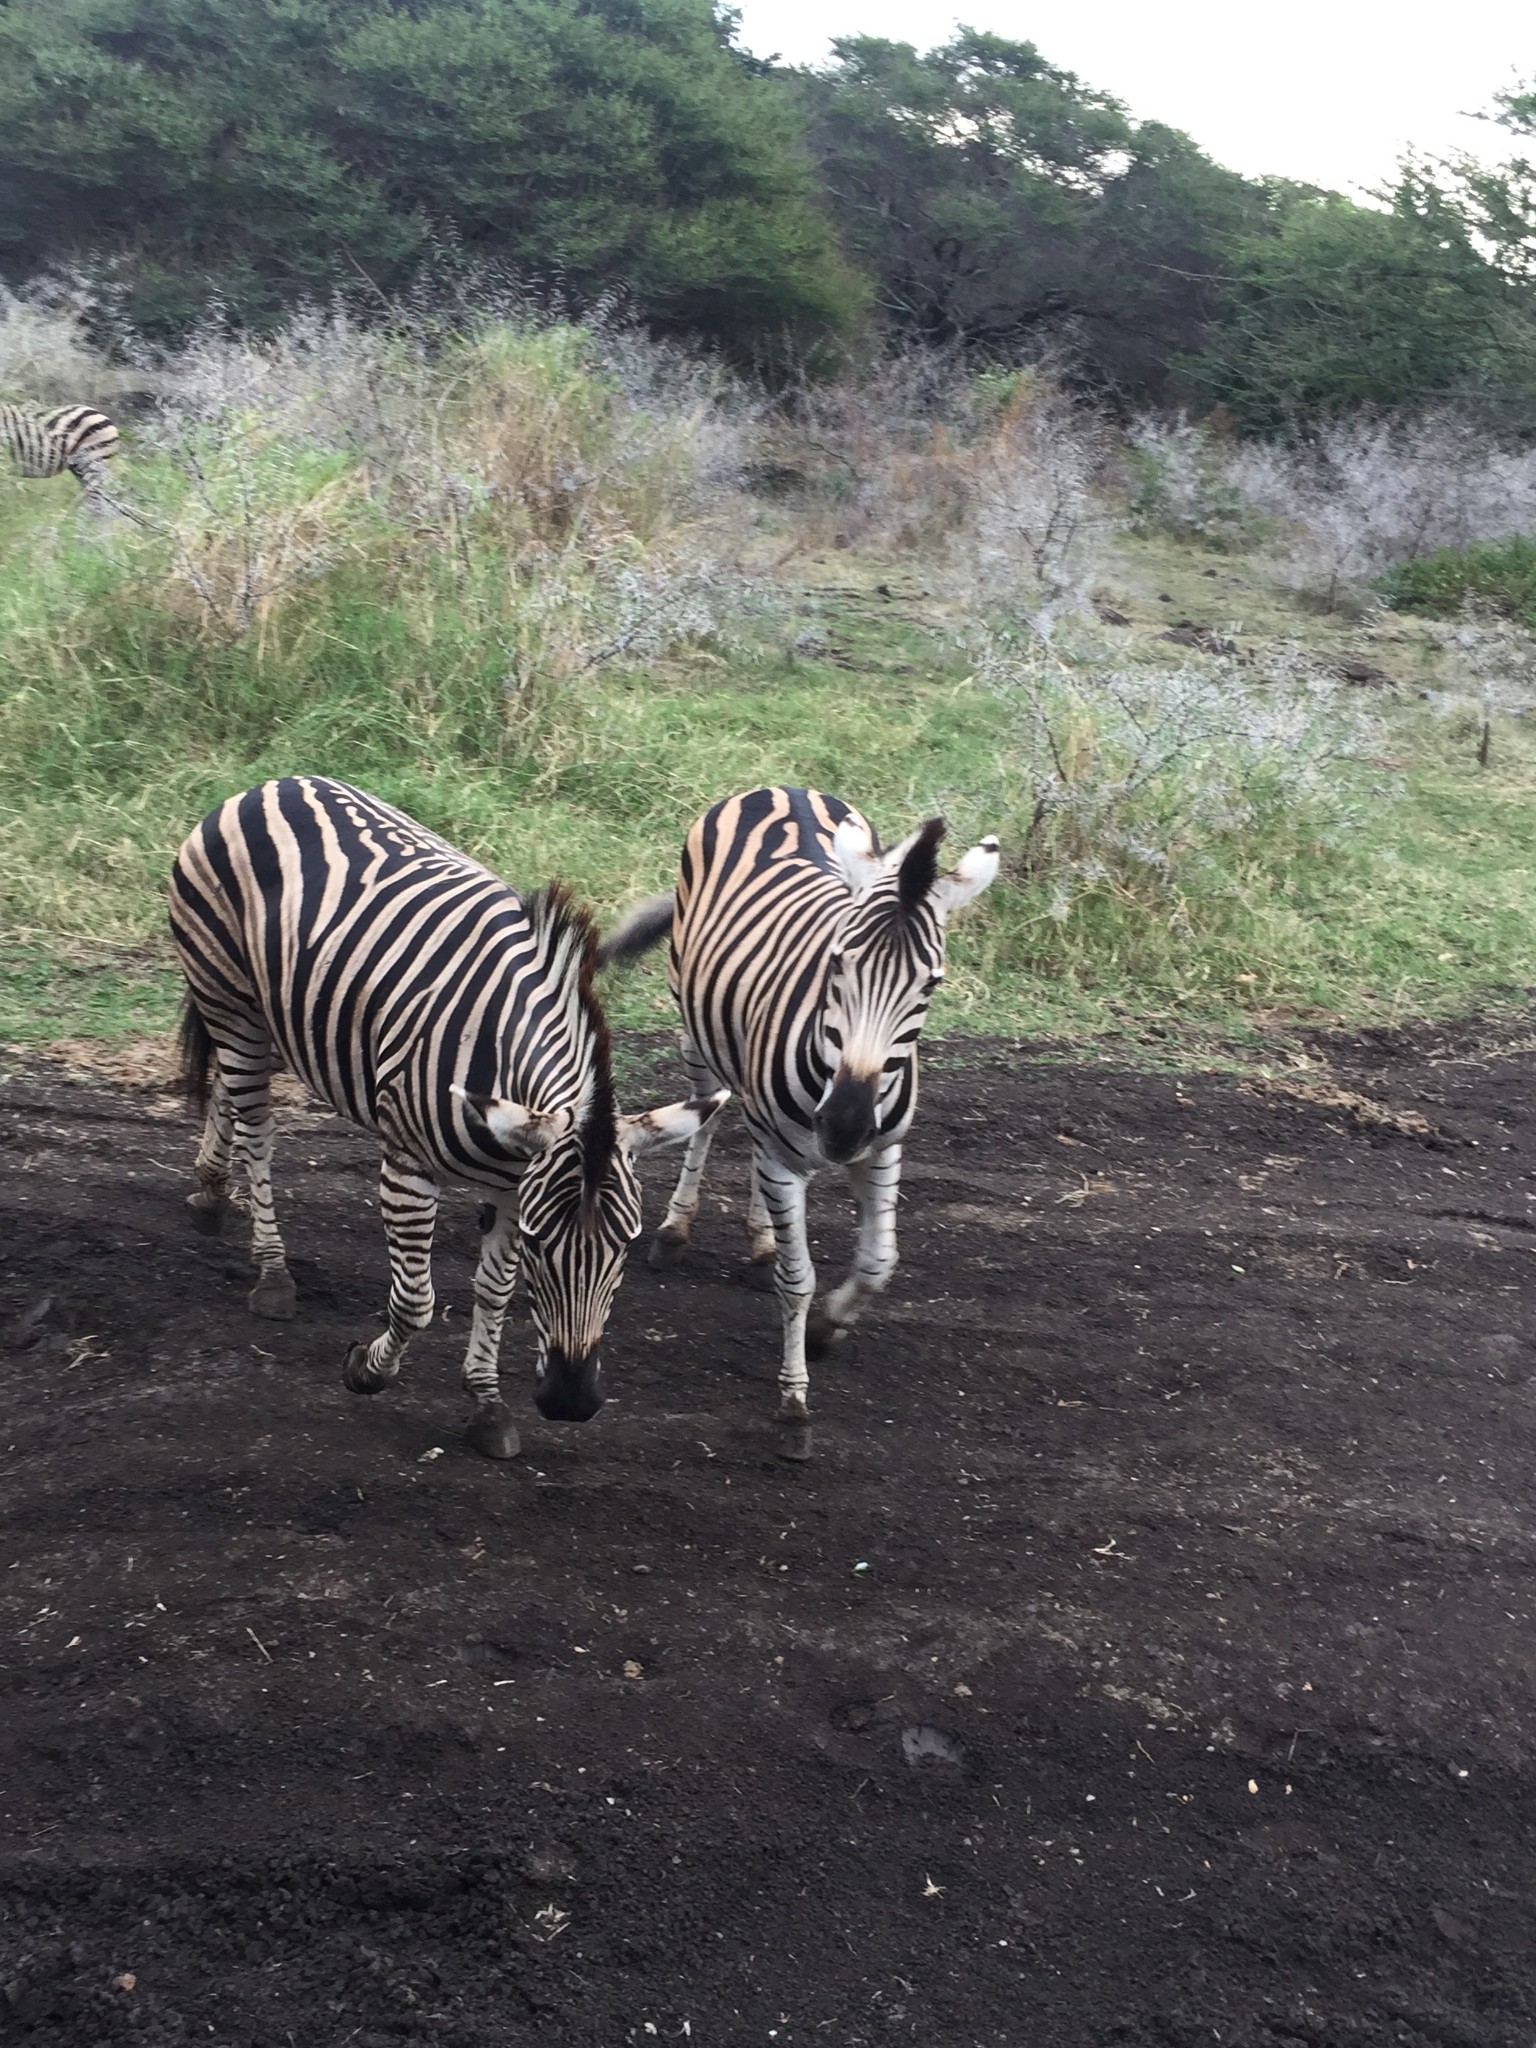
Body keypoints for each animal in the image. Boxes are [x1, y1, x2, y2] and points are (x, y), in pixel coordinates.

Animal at [165, 774, 729, 1466]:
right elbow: (415, 1301)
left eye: (624, 1246)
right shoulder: (407, 1166)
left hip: (277, 1015)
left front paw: (486, 1404)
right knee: (258, 1133)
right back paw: (272, 1273)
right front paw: (366, 1369)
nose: (571, 1403)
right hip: (228, 992)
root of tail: (272, 784)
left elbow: (495, 1292)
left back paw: (210, 1194)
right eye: (542, 1246)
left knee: (227, 1087)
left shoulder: (516, 1187)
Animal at [593, 782, 1003, 1458]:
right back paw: (676, 1231)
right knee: (707, 1117)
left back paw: (761, 1238)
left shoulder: (883, 1149)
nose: (841, 1125)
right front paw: (794, 1403)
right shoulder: (790, 1156)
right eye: (837, 962)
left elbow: (878, 1263)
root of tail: (782, 789)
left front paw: (827, 1330)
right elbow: (798, 1278)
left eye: (931, 984)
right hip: (694, 1027)